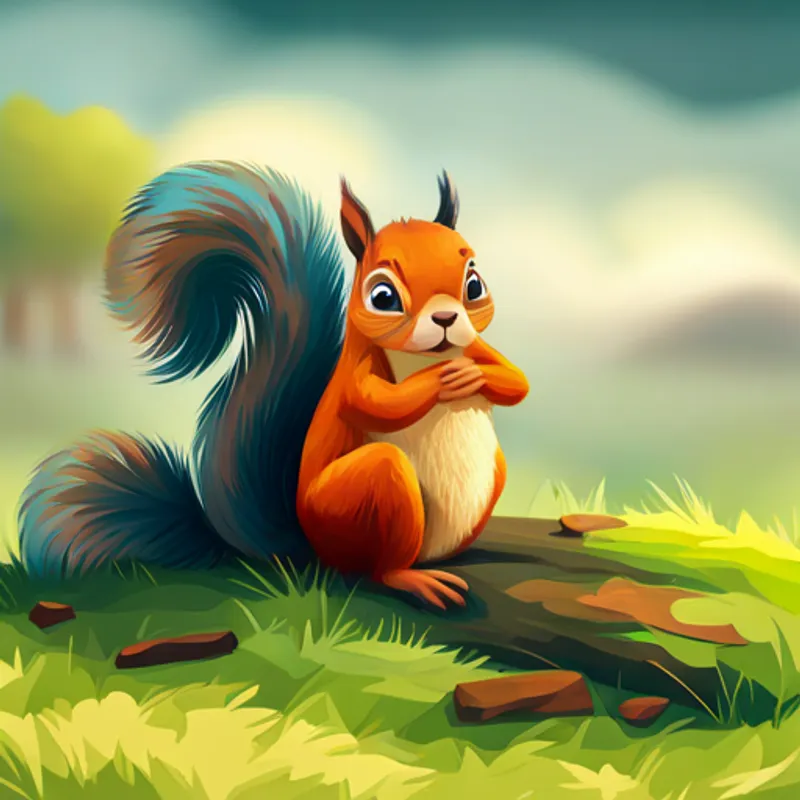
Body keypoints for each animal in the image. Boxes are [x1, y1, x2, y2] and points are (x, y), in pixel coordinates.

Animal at [18, 161, 529, 608]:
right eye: (382, 296)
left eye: (475, 285)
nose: (445, 319)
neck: (429, 354)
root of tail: (309, 547)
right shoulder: (354, 378)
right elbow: (378, 403)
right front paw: (439, 381)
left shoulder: (476, 345)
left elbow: (516, 381)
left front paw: (472, 376)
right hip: (367, 494)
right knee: (376, 566)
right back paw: (412, 579)